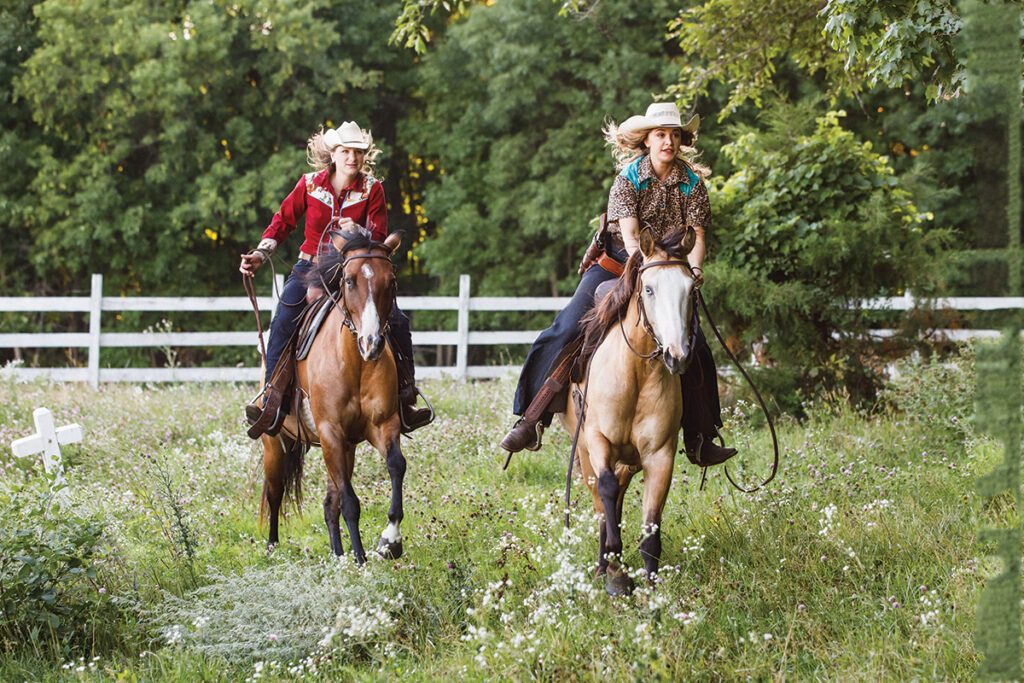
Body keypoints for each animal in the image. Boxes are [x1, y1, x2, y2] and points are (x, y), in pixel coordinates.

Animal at [260, 227, 407, 565]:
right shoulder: (330, 433)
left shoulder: (383, 425)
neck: (354, 363)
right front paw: (361, 560)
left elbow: (396, 466)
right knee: (275, 493)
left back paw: (338, 555)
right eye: (349, 280)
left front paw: (390, 540)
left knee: (330, 504)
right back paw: (273, 547)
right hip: (276, 443)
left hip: (345, 448)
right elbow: (350, 503)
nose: (371, 343)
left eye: (391, 281)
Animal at [565, 227, 700, 593]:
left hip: (628, 461)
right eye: (649, 288)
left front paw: (651, 590)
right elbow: (607, 493)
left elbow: (651, 531)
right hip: (586, 454)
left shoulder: (660, 454)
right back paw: (603, 568)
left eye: (691, 289)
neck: (635, 374)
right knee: (602, 502)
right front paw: (615, 572)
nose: (677, 355)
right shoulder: (598, 441)